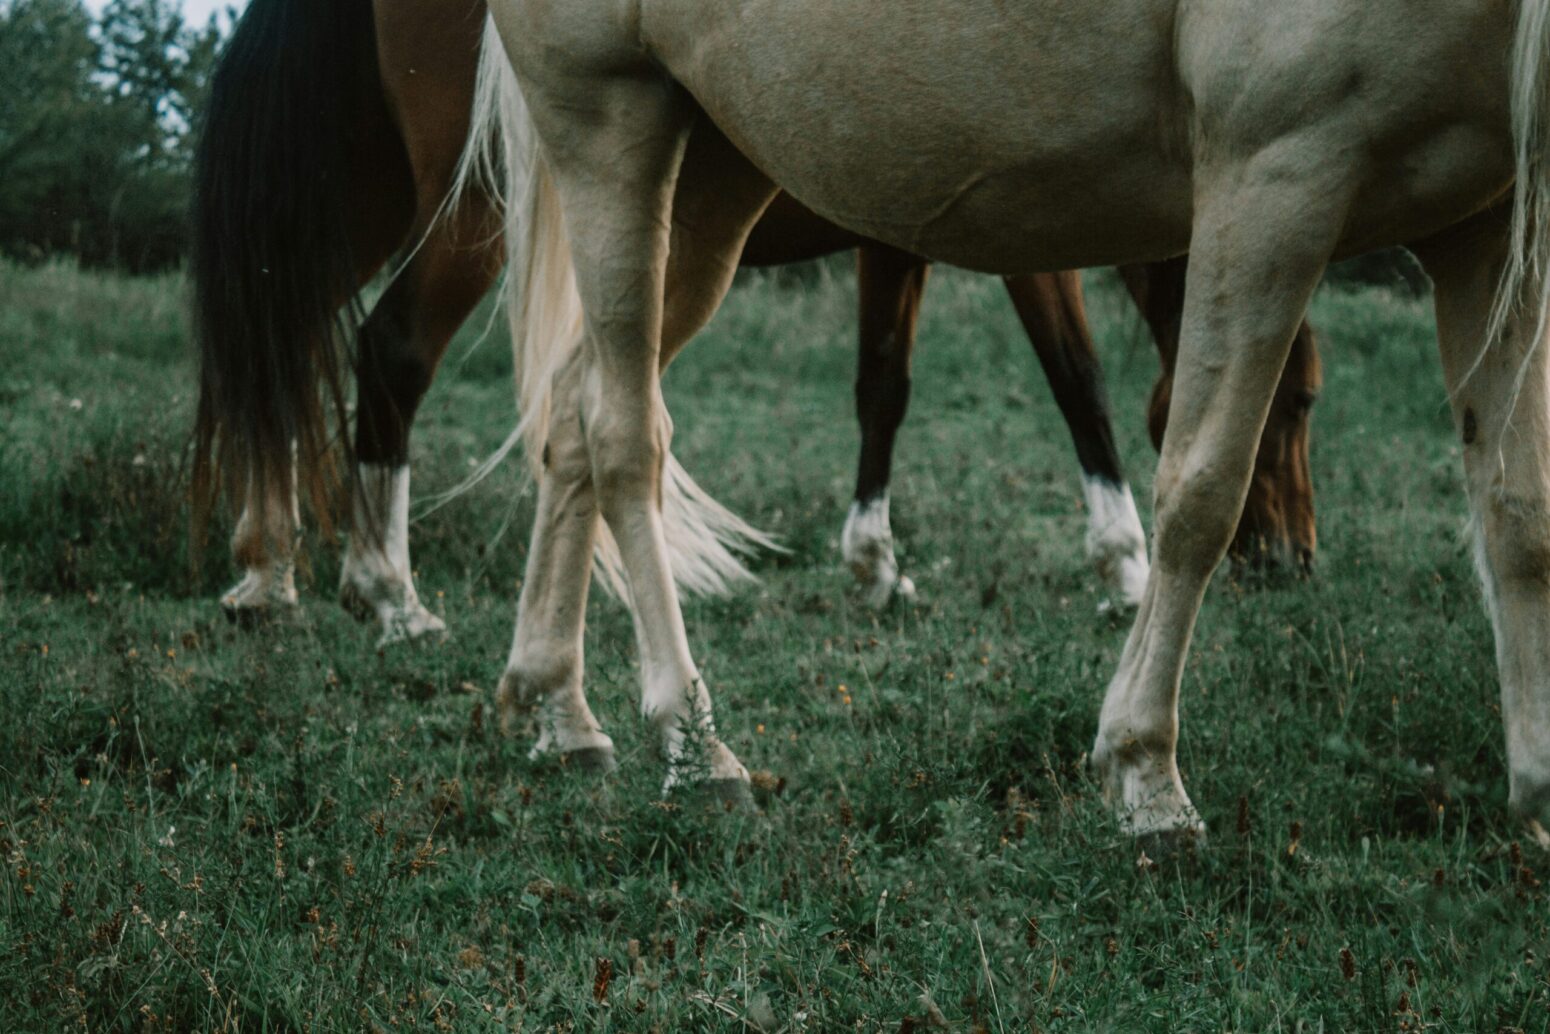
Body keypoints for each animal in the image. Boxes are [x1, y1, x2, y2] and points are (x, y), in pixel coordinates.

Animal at [190, 0, 1319, 645]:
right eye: (1296, 404)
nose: (1293, 561)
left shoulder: (893, 242)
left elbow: (881, 386)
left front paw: (873, 564)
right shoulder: (1029, 254)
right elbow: (1077, 383)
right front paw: (1122, 565)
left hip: (363, 198)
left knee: (279, 341)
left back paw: (265, 569)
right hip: (477, 207)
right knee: (389, 350)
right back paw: (387, 591)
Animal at [462, 0, 1550, 844]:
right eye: (1300, 400)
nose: (1292, 563)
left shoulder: (1487, 224)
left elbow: (1517, 515)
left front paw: (1535, 788)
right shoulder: (1275, 178)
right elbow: (1199, 488)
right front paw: (1146, 775)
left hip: (715, 176)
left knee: (569, 413)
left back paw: (560, 707)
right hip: (610, 125)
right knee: (620, 433)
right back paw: (695, 748)